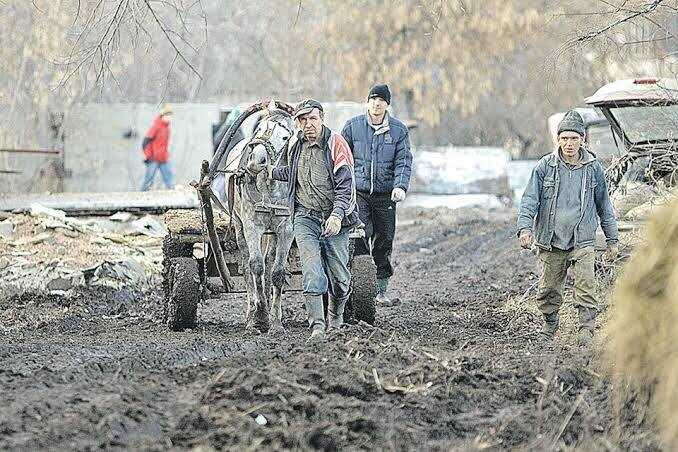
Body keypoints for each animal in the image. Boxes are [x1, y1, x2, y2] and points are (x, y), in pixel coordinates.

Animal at [214, 101, 296, 332]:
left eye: (285, 137)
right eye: (259, 128)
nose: (256, 161)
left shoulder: (286, 230)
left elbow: (276, 272)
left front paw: (275, 322)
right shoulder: (252, 226)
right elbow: (256, 266)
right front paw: (259, 316)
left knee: (270, 260)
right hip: (239, 226)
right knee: (246, 264)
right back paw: (252, 312)